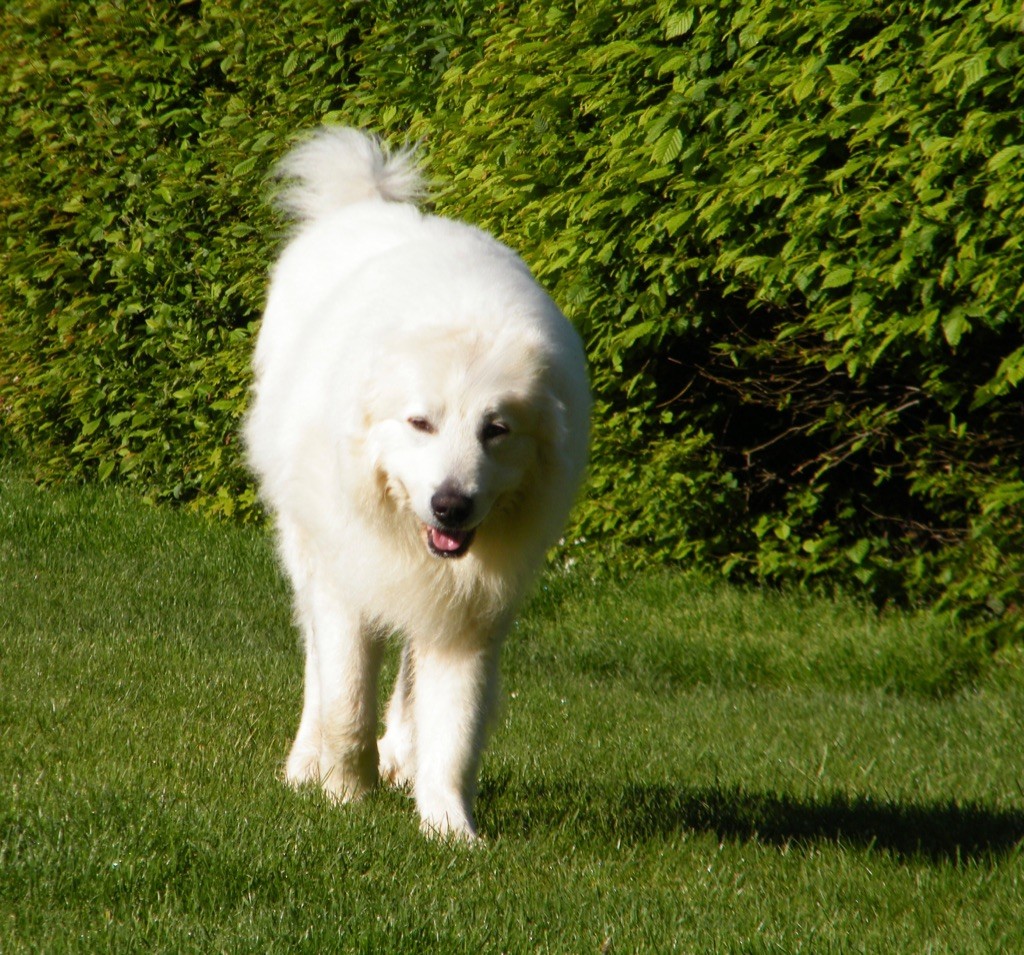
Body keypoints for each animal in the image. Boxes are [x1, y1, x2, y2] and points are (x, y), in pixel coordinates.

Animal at [242, 126, 589, 835]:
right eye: (420, 423)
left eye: (496, 430)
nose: (451, 505)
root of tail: (364, 204)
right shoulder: (349, 585)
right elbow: (347, 705)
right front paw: (346, 799)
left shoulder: (472, 614)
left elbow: (454, 731)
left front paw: (449, 830)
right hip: (309, 553)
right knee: (318, 669)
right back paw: (305, 766)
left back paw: (400, 757)